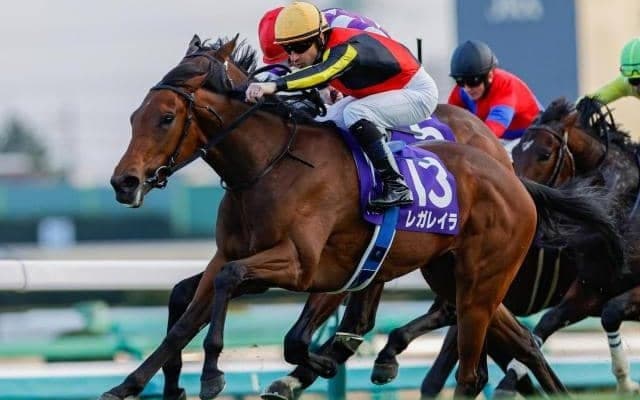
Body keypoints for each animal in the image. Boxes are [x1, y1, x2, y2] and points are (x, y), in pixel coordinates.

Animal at [104, 36, 623, 400]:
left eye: (166, 118)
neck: (268, 164)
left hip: (477, 281)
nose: (124, 182)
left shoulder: (302, 265)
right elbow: (186, 316)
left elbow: (244, 297)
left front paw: (213, 374)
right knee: (520, 343)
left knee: (471, 368)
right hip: (457, 276)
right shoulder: (233, 258)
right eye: (133, 116)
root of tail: (511, 177)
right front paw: (136, 384)